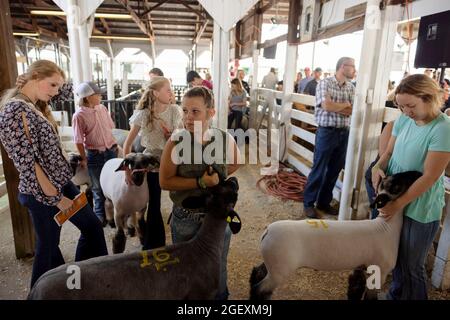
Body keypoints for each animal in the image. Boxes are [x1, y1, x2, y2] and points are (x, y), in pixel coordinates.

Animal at [250, 170, 422, 300]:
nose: (418, 173)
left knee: (257, 273)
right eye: (396, 185)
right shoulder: (380, 271)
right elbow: (369, 297)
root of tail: (267, 231)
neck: (386, 226)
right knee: (260, 288)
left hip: (272, 264)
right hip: (280, 270)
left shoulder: (361, 268)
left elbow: (354, 290)